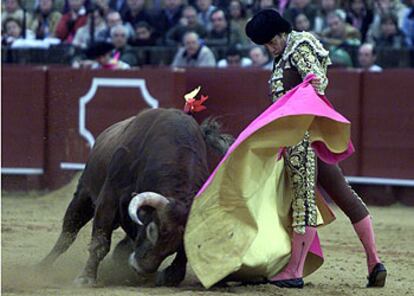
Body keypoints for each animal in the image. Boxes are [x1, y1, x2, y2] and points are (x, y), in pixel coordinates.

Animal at [38, 108, 233, 286]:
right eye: (152, 230)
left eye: (179, 243)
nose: (141, 269)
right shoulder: (108, 199)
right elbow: (100, 242)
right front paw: (85, 278)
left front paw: (166, 276)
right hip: (83, 197)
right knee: (67, 234)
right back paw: (42, 267)